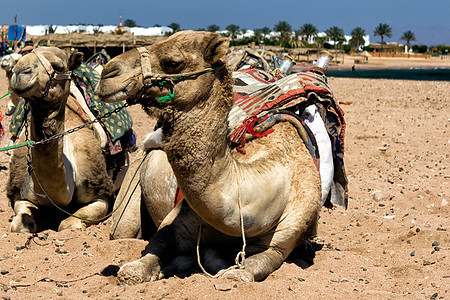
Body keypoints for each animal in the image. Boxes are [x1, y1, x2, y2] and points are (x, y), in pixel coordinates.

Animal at [7, 46, 116, 232]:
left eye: (58, 67)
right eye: (20, 58)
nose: (20, 70)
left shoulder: (101, 196)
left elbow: (67, 224)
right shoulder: (20, 194)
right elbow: (21, 224)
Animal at [96, 31, 326, 284]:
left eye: (172, 62)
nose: (108, 72)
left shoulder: (282, 241)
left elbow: (242, 273)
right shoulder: (177, 221)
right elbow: (141, 263)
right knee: (122, 228)